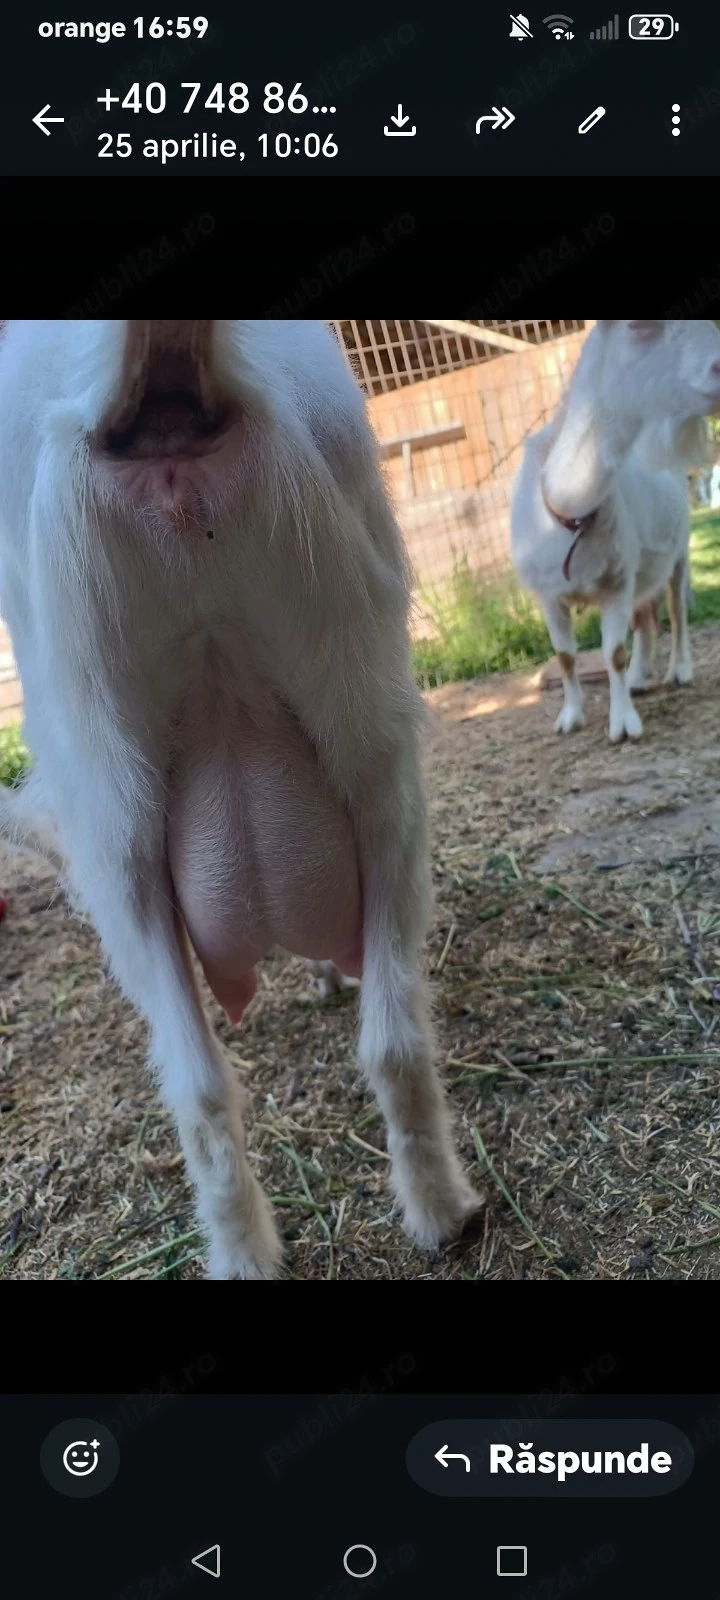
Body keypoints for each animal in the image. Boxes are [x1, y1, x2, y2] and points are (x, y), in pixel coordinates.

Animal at [0, 319, 479, 1279]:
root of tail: (162, 394)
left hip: (117, 800)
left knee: (202, 1086)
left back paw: (253, 1251)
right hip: (369, 714)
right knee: (387, 1038)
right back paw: (439, 1210)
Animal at [511, 320, 720, 742]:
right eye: (640, 326)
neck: (568, 511)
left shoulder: (616, 584)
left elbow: (613, 654)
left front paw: (623, 724)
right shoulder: (548, 594)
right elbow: (565, 656)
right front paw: (570, 717)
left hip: (679, 552)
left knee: (676, 611)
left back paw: (680, 670)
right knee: (645, 615)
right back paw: (640, 676)